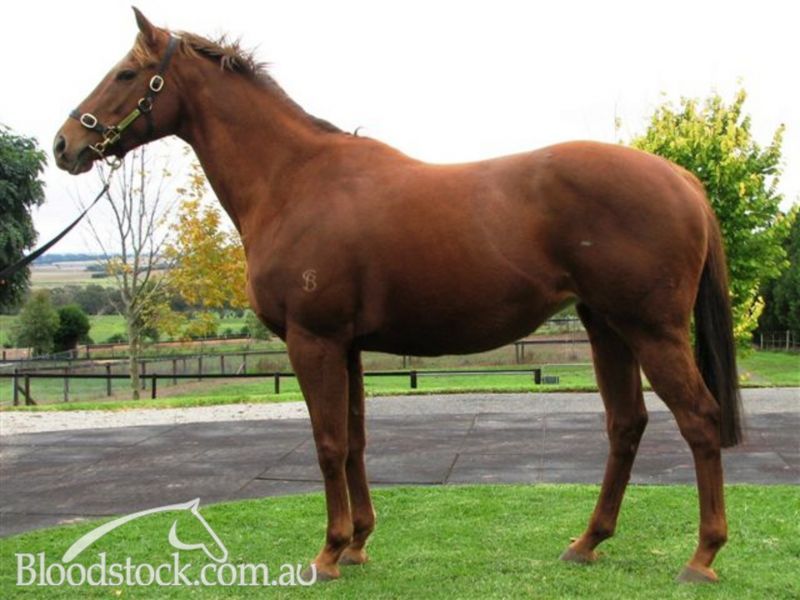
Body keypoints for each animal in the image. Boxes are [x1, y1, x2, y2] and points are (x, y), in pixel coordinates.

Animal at [54, 8, 743, 584]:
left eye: (126, 73)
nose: (65, 144)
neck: (293, 180)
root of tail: (681, 177)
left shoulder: (313, 341)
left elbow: (327, 443)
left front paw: (329, 553)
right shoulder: (348, 346)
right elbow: (355, 439)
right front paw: (358, 543)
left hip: (652, 331)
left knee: (699, 420)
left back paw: (701, 557)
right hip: (607, 328)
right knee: (626, 425)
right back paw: (586, 542)